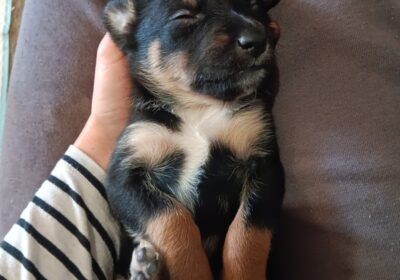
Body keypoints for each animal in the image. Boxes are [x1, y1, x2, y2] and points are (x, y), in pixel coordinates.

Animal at [103, 1, 284, 278]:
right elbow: (173, 220)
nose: (257, 39)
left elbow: (246, 236)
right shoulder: (124, 177)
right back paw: (146, 268)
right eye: (184, 16)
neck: (198, 108)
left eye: (254, 6)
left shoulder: (265, 167)